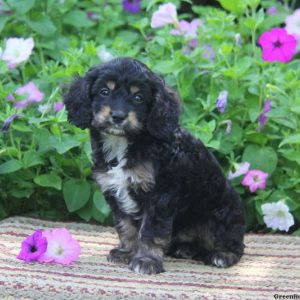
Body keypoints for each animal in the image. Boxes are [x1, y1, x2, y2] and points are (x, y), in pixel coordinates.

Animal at [64, 56, 245, 274]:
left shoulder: (160, 195)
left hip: (219, 216)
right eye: (104, 92)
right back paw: (186, 249)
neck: (124, 143)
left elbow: (151, 231)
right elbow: (126, 226)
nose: (118, 116)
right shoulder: (114, 190)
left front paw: (146, 260)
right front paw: (126, 252)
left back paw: (222, 255)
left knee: (233, 243)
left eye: (138, 97)